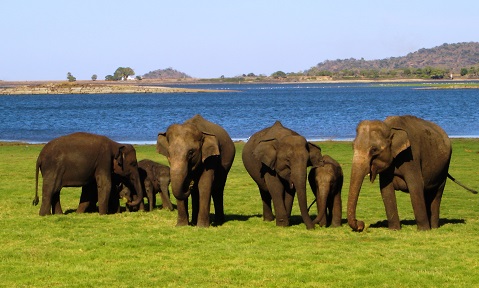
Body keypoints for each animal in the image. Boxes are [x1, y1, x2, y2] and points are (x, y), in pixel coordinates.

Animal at [346, 115, 478, 232]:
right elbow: (386, 189)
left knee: (437, 193)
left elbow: (415, 186)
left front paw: (423, 230)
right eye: (353, 146)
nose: (361, 224)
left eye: (374, 150)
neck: (390, 127)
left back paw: (434, 227)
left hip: (444, 167)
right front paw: (394, 229)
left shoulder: (411, 156)